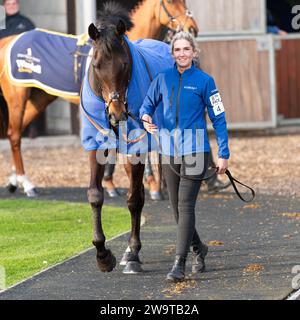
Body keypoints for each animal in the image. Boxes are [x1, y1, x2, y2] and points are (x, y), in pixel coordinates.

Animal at [0, 0, 198, 198]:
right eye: (170, 2)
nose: (191, 28)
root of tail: (9, 41)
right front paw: (150, 185)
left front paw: (111, 182)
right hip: (17, 98)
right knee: (15, 135)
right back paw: (26, 184)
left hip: (39, 99)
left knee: (15, 133)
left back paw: (15, 180)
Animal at [82, 3, 175, 272]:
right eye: (96, 65)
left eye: (124, 64)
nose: (117, 113)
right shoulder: (96, 144)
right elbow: (95, 195)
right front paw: (103, 254)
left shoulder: (136, 148)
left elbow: (134, 200)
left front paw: (133, 253)